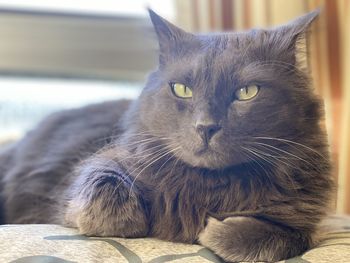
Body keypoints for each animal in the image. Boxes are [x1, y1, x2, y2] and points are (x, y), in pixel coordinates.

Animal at [0, 9, 334, 262]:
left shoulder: (307, 220)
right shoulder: (91, 178)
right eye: (182, 89)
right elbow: (102, 189)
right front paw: (131, 221)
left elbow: (286, 238)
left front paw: (214, 231)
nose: (205, 126)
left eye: (247, 92)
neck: (208, 186)